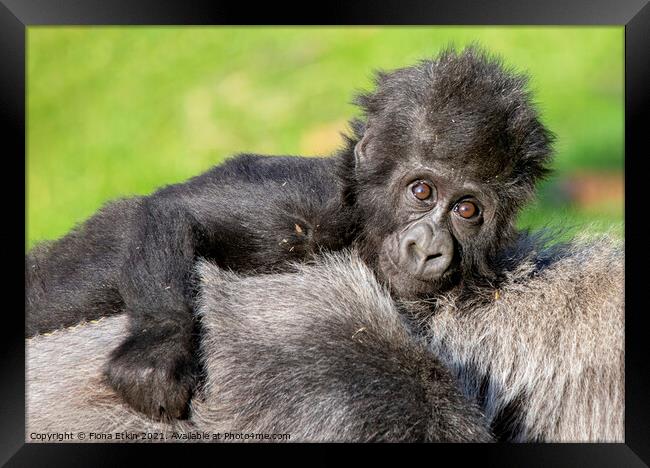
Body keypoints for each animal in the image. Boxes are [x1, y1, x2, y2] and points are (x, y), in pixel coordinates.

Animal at [26, 46, 552, 420]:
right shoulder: (306, 206)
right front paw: (158, 348)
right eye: (421, 191)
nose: (428, 249)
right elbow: (171, 211)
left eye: (467, 210)